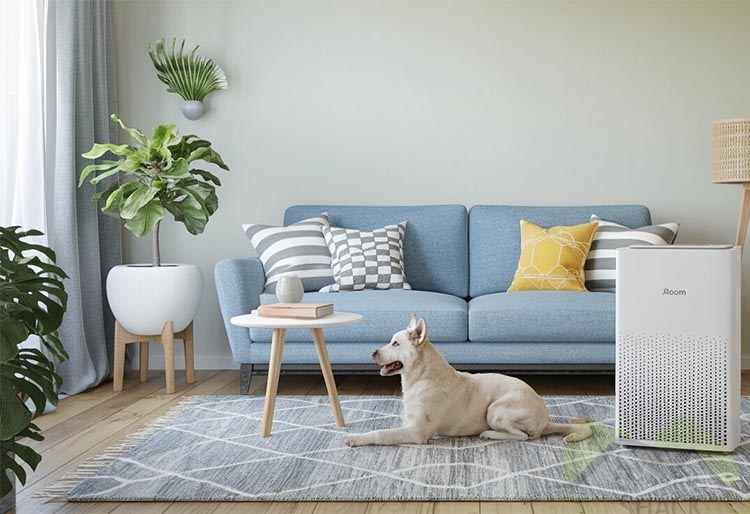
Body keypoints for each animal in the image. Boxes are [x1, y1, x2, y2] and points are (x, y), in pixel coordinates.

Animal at [346, 312, 592, 444]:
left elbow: (380, 433)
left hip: (495, 410)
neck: (422, 376)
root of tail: (545, 419)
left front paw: (356, 439)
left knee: (524, 436)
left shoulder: (417, 432)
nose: (372, 352)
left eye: (396, 344)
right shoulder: (407, 422)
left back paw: (488, 433)